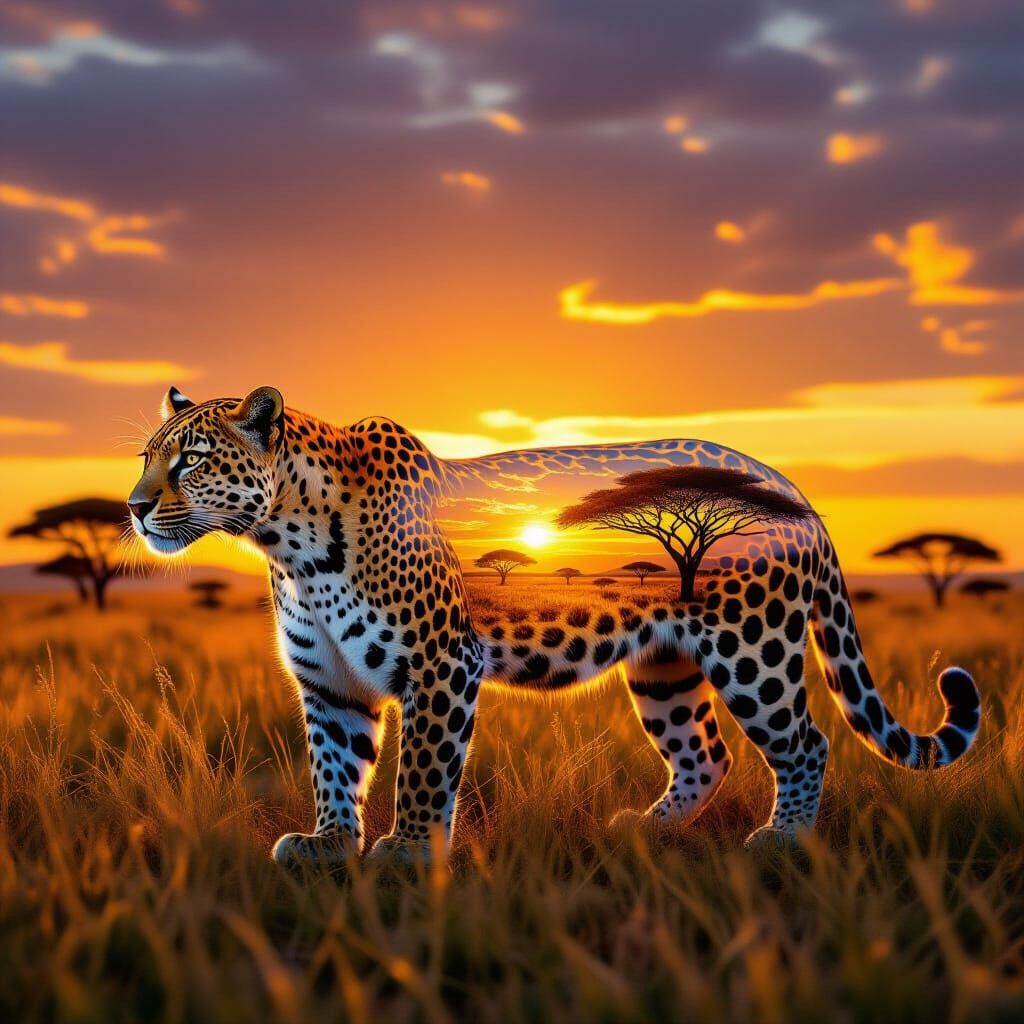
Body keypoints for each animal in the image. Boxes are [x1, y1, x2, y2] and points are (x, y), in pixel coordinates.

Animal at [128, 386, 981, 863]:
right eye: (145, 458)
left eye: (192, 459)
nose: (134, 507)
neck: (289, 545)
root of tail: (790, 484)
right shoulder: (329, 682)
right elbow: (335, 766)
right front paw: (331, 845)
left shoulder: (442, 663)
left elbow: (423, 768)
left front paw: (406, 852)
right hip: (665, 666)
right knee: (703, 753)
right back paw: (644, 830)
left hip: (755, 649)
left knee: (805, 742)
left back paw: (785, 841)